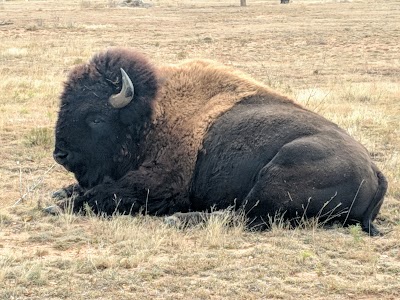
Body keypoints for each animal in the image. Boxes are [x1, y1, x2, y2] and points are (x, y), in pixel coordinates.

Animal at [53, 47, 388, 234]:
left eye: (96, 117)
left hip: (278, 174)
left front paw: (59, 205)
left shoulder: (160, 185)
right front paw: (62, 193)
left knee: (244, 216)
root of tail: (375, 171)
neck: (151, 115)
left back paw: (180, 220)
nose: (60, 154)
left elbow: (108, 194)